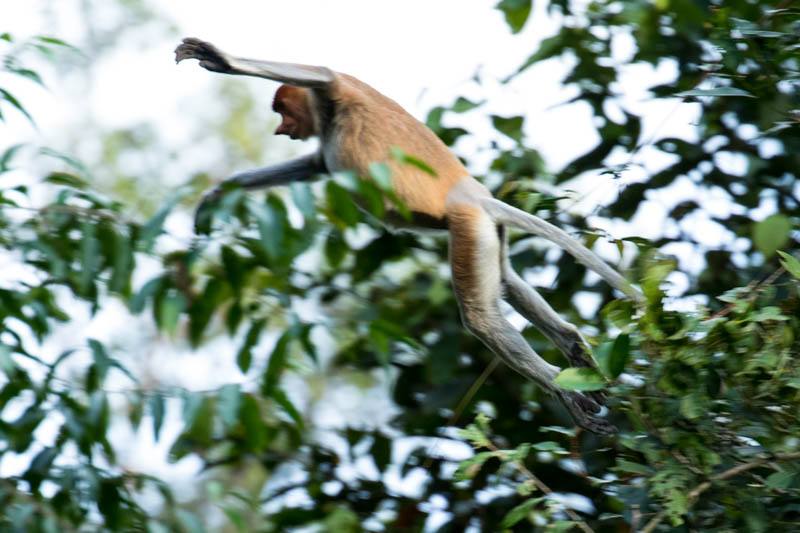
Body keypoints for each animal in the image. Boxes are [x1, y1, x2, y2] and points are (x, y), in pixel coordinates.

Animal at [175, 37, 644, 432]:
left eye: (282, 112)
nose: (280, 129)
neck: (328, 119)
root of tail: (476, 196)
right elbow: (315, 164)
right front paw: (216, 196)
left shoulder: (339, 92)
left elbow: (323, 74)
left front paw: (218, 58)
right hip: (488, 231)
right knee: (509, 284)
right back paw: (575, 349)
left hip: (467, 225)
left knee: (481, 317)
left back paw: (565, 392)